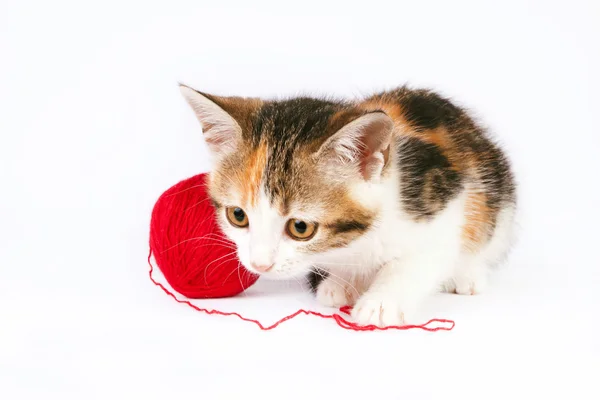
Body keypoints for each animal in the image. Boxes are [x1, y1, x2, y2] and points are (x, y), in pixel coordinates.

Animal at [178, 83, 516, 326]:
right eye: (238, 215)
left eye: (300, 227)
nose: (260, 265)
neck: (358, 241)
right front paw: (341, 281)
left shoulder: (443, 202)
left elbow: (417, 259)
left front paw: (382, 302)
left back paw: (467, 275)